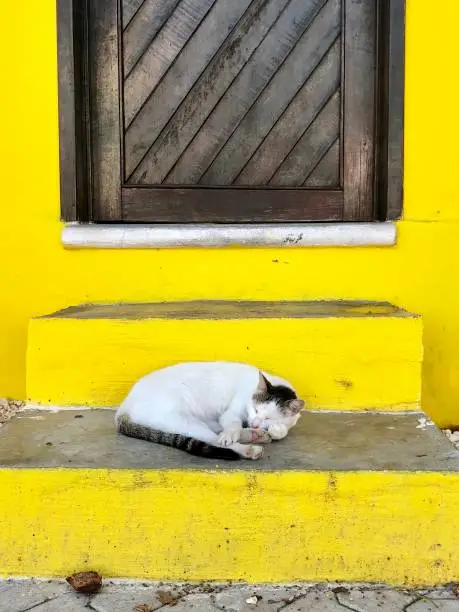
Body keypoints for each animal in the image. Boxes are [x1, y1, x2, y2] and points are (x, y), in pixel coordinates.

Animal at [116, 358, 306, 460]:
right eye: (255, 410)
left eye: (268, 417)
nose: (256, 423)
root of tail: (124, 406)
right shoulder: (232, 413)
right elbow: (232, 425)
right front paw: (235, 433)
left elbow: (282, 430)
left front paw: (275, 429)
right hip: (181, 420)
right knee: (215, 439)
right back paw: (248, 448)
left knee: (217, 432)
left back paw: (255, 435)